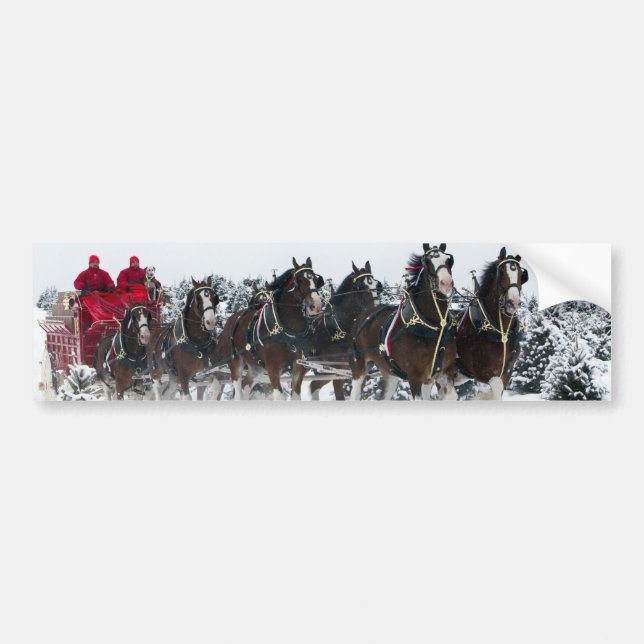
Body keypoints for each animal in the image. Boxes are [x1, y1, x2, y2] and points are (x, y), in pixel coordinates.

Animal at [215, 257, 324, 400]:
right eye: (299, 280)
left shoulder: (298, 368)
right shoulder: (273, 370)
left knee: (246, 386)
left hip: (256, 368)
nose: (316, 305)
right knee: (238, 392)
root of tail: (229, 322)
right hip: (235, 364)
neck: (289, 332)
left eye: (315, 280)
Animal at [350, 244, 458, 400]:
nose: (446, 283)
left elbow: (451, 395)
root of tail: (367, 311)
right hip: (359, 367)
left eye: (448, 260)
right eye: (427, 262)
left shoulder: (440, 373)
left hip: (390, 374)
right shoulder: (414, 377)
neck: (431, 327)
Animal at [450, 247, 529, 400]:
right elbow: (496, 388)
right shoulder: (481, 372)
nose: (513, 302)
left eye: (521, 274)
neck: (501, 331)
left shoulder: (507, 372)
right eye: (501, 272)